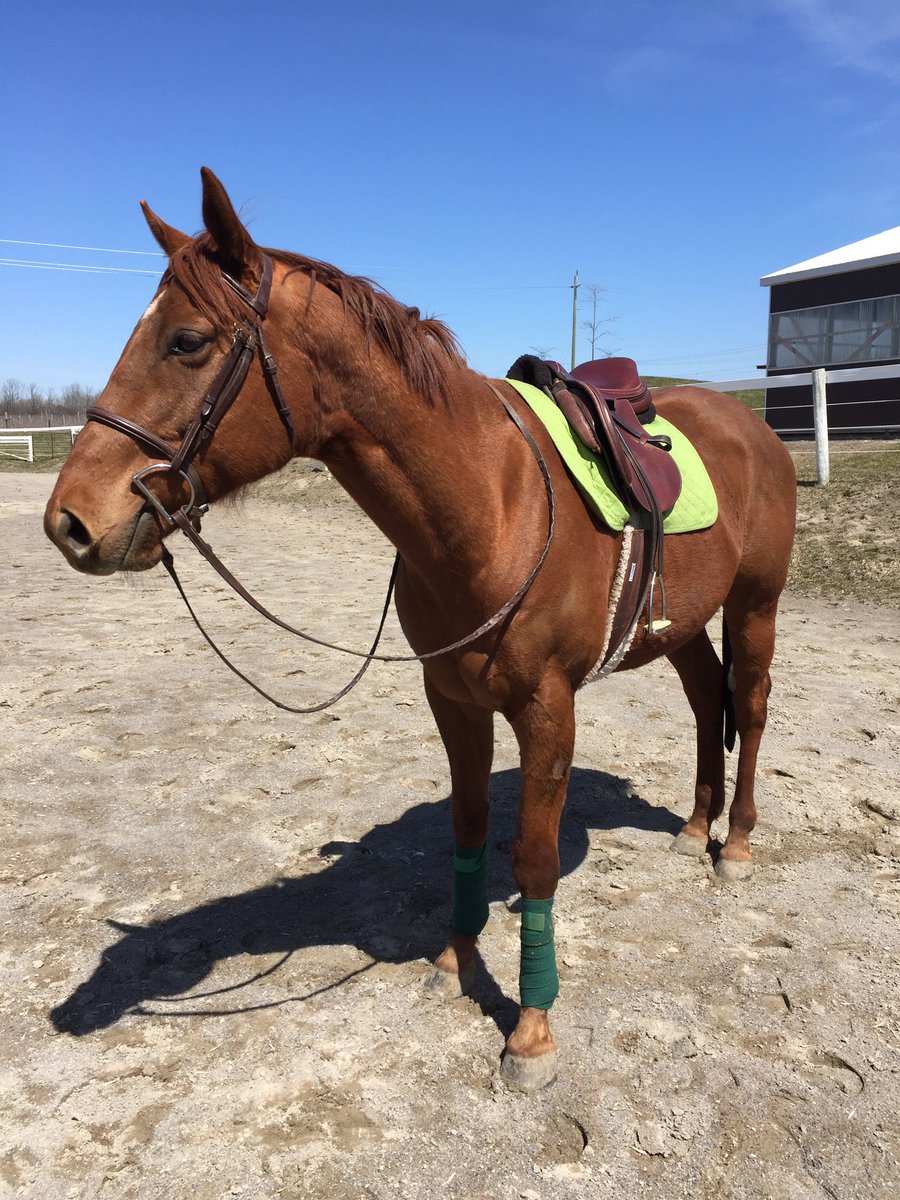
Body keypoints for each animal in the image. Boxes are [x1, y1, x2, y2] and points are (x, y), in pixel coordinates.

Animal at [44, 168, 796, 1090]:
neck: (492, 502)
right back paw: (694, 828)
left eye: (186, 340)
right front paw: (456, 954)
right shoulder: (454, 699)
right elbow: (468, 828)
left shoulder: (548, 711)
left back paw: (736, 844)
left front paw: (531, 1028)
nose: (70, 521)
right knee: (701, 703)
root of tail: (753, 424)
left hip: (756, 603)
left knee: (749, 707)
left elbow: (535, 859)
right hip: (680, 621)